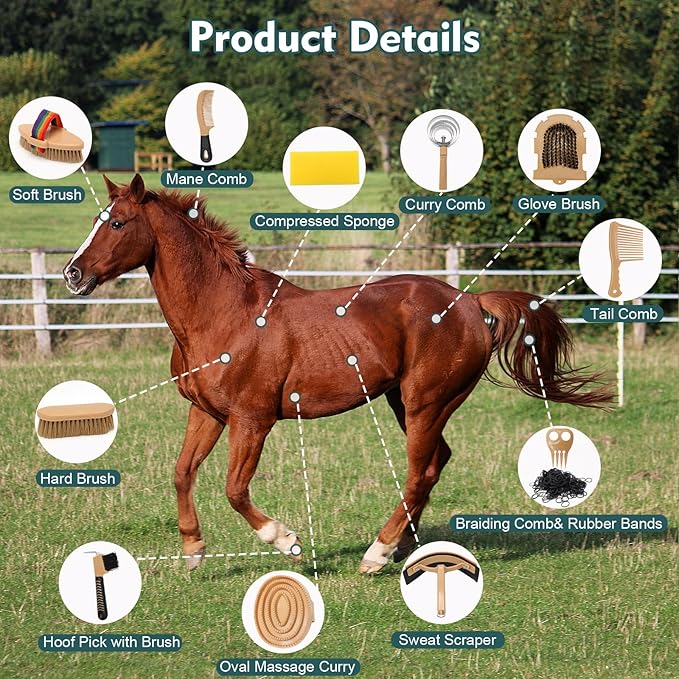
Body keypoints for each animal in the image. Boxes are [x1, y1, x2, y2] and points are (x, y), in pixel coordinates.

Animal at [63, 174, 611, 573]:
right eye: (95, 220)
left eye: (117, 224)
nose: (72, 274)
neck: (223, 314)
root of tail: (472, 303)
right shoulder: (208, 413)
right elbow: (181, 473)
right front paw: (194, 552)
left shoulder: (252, 420)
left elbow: (235, 489)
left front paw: (286, 541)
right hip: (404, 402)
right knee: (435, 465)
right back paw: (403, 545)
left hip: (426, 402)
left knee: (419, 472)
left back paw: (377, 553)